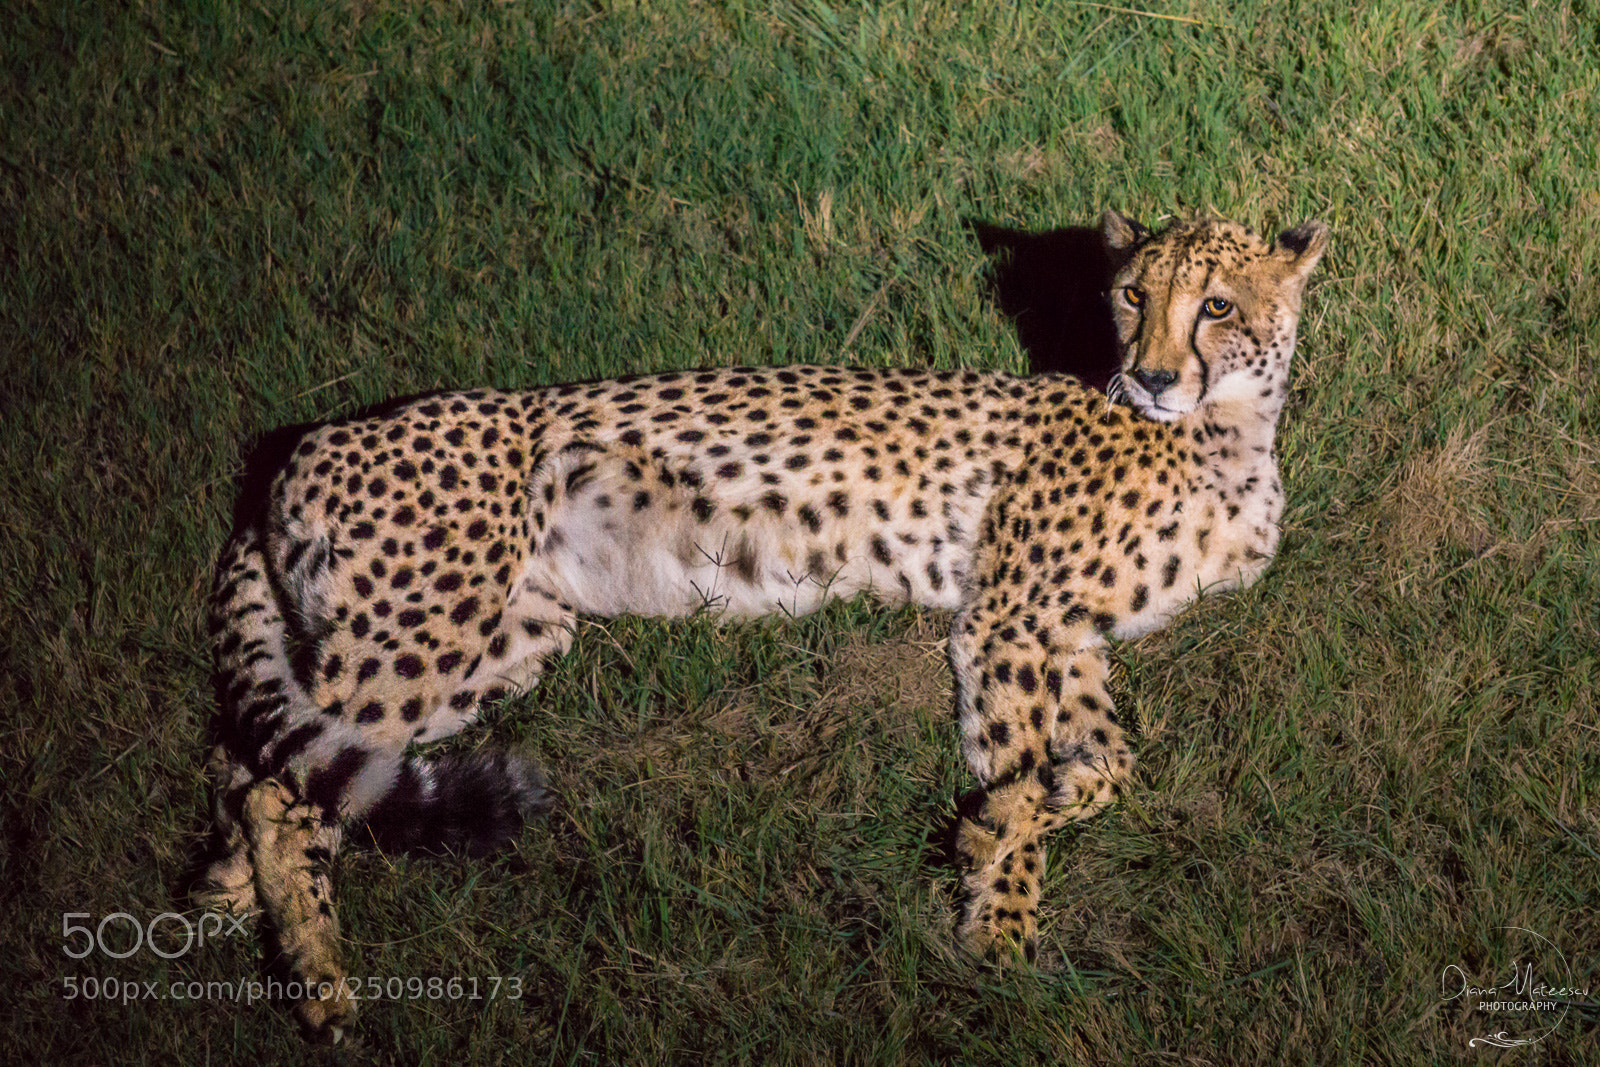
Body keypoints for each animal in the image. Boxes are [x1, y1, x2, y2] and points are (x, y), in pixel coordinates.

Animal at [196, 210, 1328, 1039]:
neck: (1226, 434)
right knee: (272, 785)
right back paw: (318, 974)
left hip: (516, 633)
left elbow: (1106, 766)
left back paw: (221, 900)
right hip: (438, 612)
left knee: (272, 762)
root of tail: (312, 438)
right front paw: (1000, 925)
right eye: (1134, 295)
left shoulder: (1068, 634)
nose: (1152, 374)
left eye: (1216, 306)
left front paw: (1018, 818)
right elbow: (1023, 769)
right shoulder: (1010, 619)